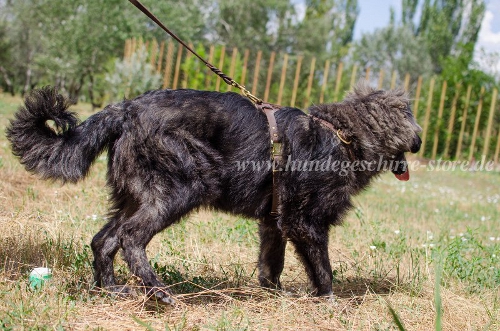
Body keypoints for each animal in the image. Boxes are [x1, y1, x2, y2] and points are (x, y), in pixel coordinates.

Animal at [6, 84, 422, 304]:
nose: (420, 141)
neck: (343, 136)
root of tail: (126, 109)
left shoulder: (274, 224)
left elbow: (271, 266)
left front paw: (274, 296)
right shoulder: (306, 224)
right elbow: (324, 269)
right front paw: (330, 303)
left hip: (135, 196)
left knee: (103, 240)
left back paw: (112, 289)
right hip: (183, 187)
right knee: (130, 238)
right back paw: (158, 291)